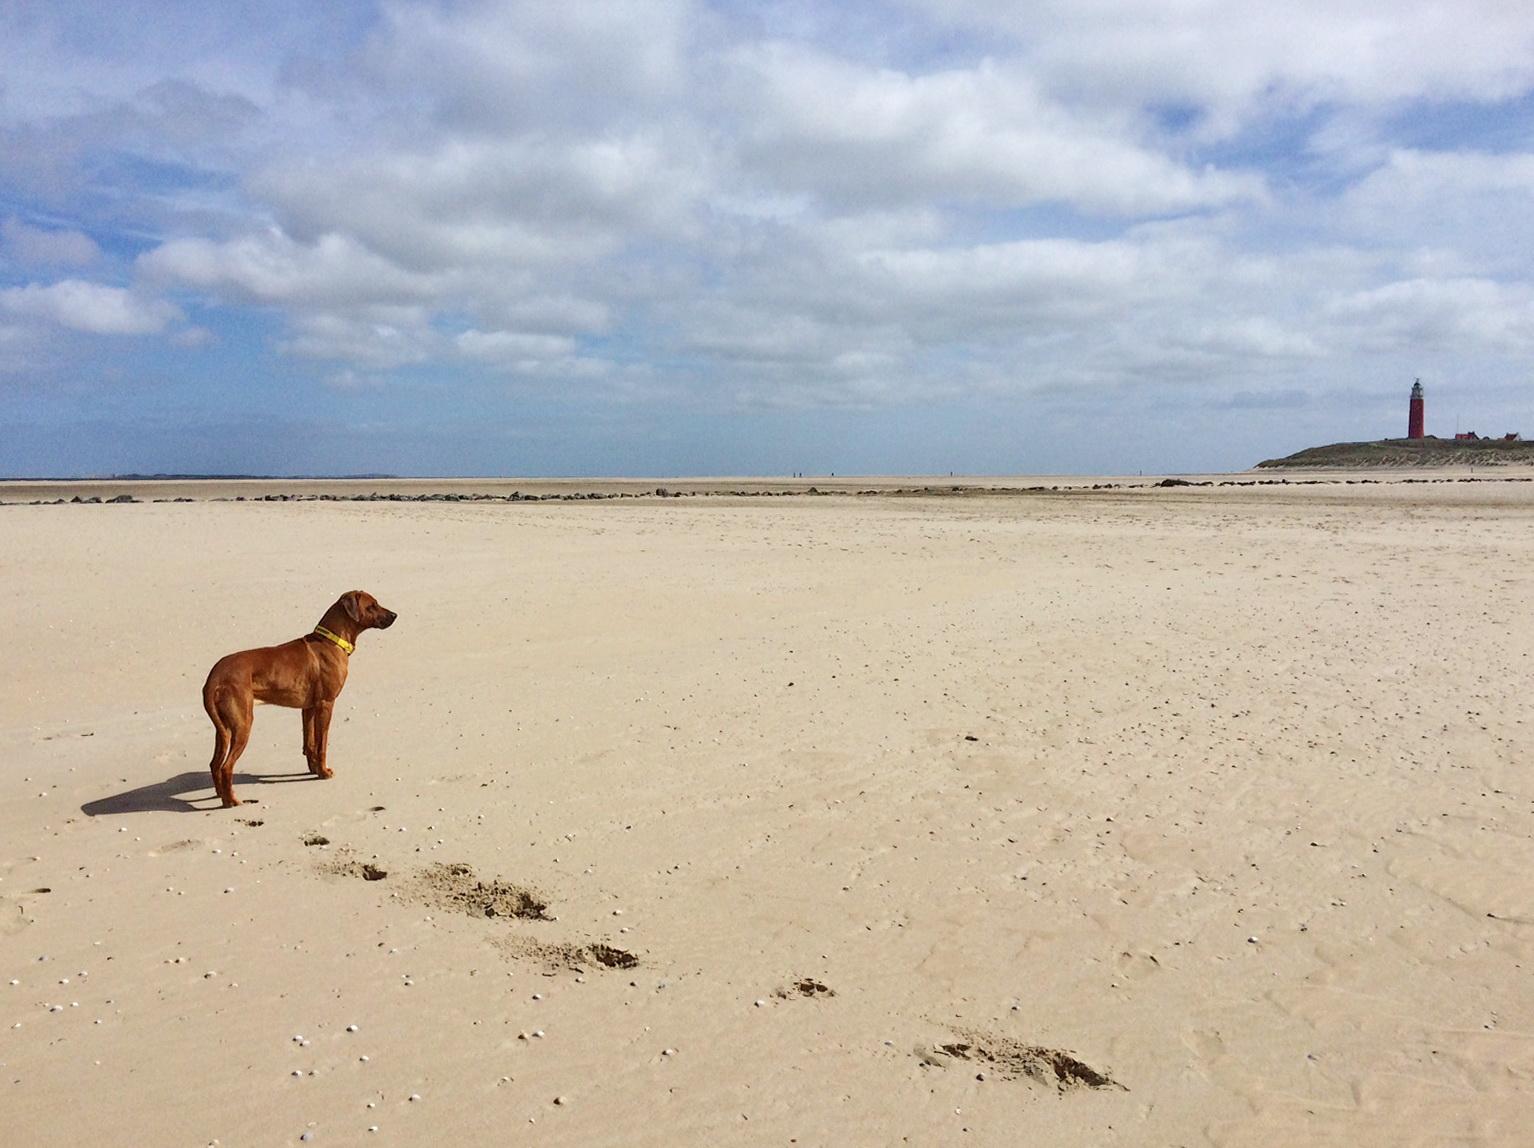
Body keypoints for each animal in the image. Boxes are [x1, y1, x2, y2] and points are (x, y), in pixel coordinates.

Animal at [200, 592, 398, 804]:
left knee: (214, 764)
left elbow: (309, 743)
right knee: (226, 766)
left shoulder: (308, 708)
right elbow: (321, 745)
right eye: (371, 606)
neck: (331, 641)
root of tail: (214, 677)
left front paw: (314, 770)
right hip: (243, 724)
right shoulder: (326, 705)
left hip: (224, 728)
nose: (394, 615)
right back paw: (230, 801)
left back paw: (220, 793)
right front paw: (324, 772)